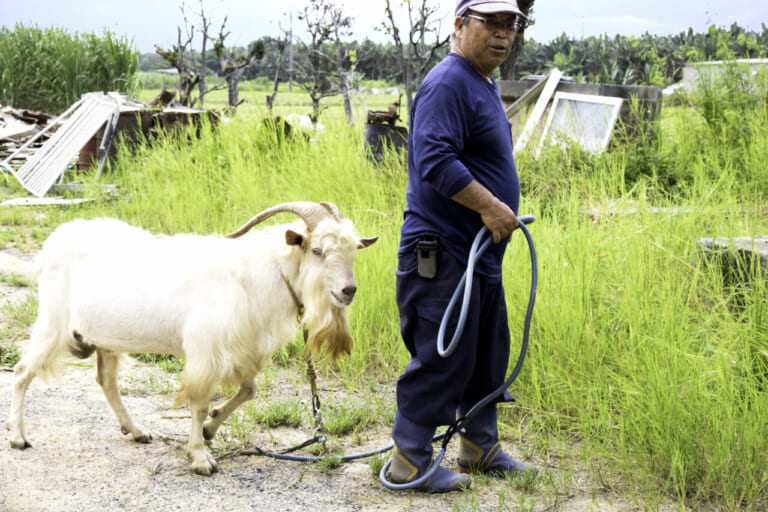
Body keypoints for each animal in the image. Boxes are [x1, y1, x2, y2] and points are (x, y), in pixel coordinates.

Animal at [2, 202, 376, 474]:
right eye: (317, 250)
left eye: (354, 251)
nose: (348, 291)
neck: (261, 274)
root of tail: (49, 247)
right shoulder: (204, 349)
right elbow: (198, 402)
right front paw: (199, 457)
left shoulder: (243, 348)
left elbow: (248, 390)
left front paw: (211, 428)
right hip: (54, 320)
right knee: (22, 371)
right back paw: (18, 437)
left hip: (105, 337)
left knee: (106, 381)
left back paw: (136, 431)